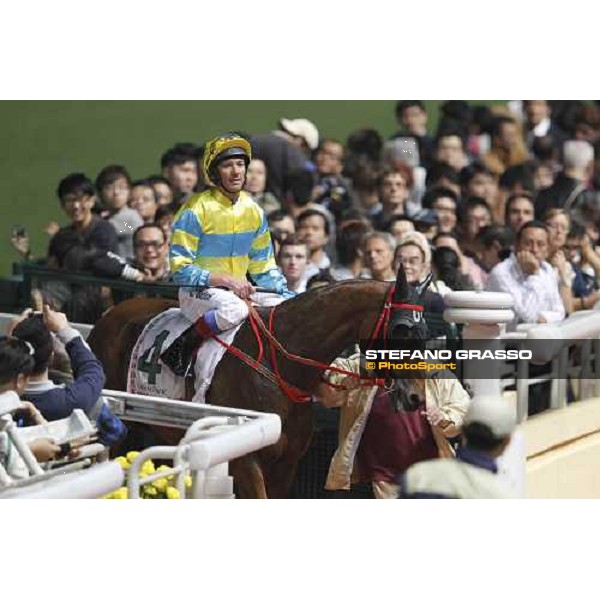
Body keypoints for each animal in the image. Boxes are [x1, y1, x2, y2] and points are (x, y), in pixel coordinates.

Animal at [90, 274, 418, 500]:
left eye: (423, 327)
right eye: (401, 329)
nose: (415, 395)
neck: (279, 365)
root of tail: (107, 318)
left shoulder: (287, 463)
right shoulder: (246, 461)